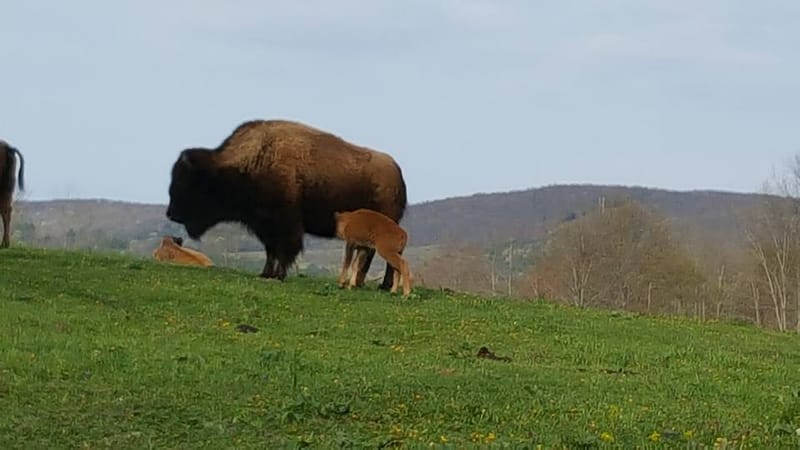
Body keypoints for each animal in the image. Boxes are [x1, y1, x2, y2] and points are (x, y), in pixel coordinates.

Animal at [166, 119, 407, 288]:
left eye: (188, 183)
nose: (171, 213)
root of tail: (397, 174)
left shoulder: (285, 224)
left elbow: (284, 249)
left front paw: (279, 275)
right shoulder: (265, 226)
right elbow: (270, 251)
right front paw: (266, 273)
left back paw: (383, 286)